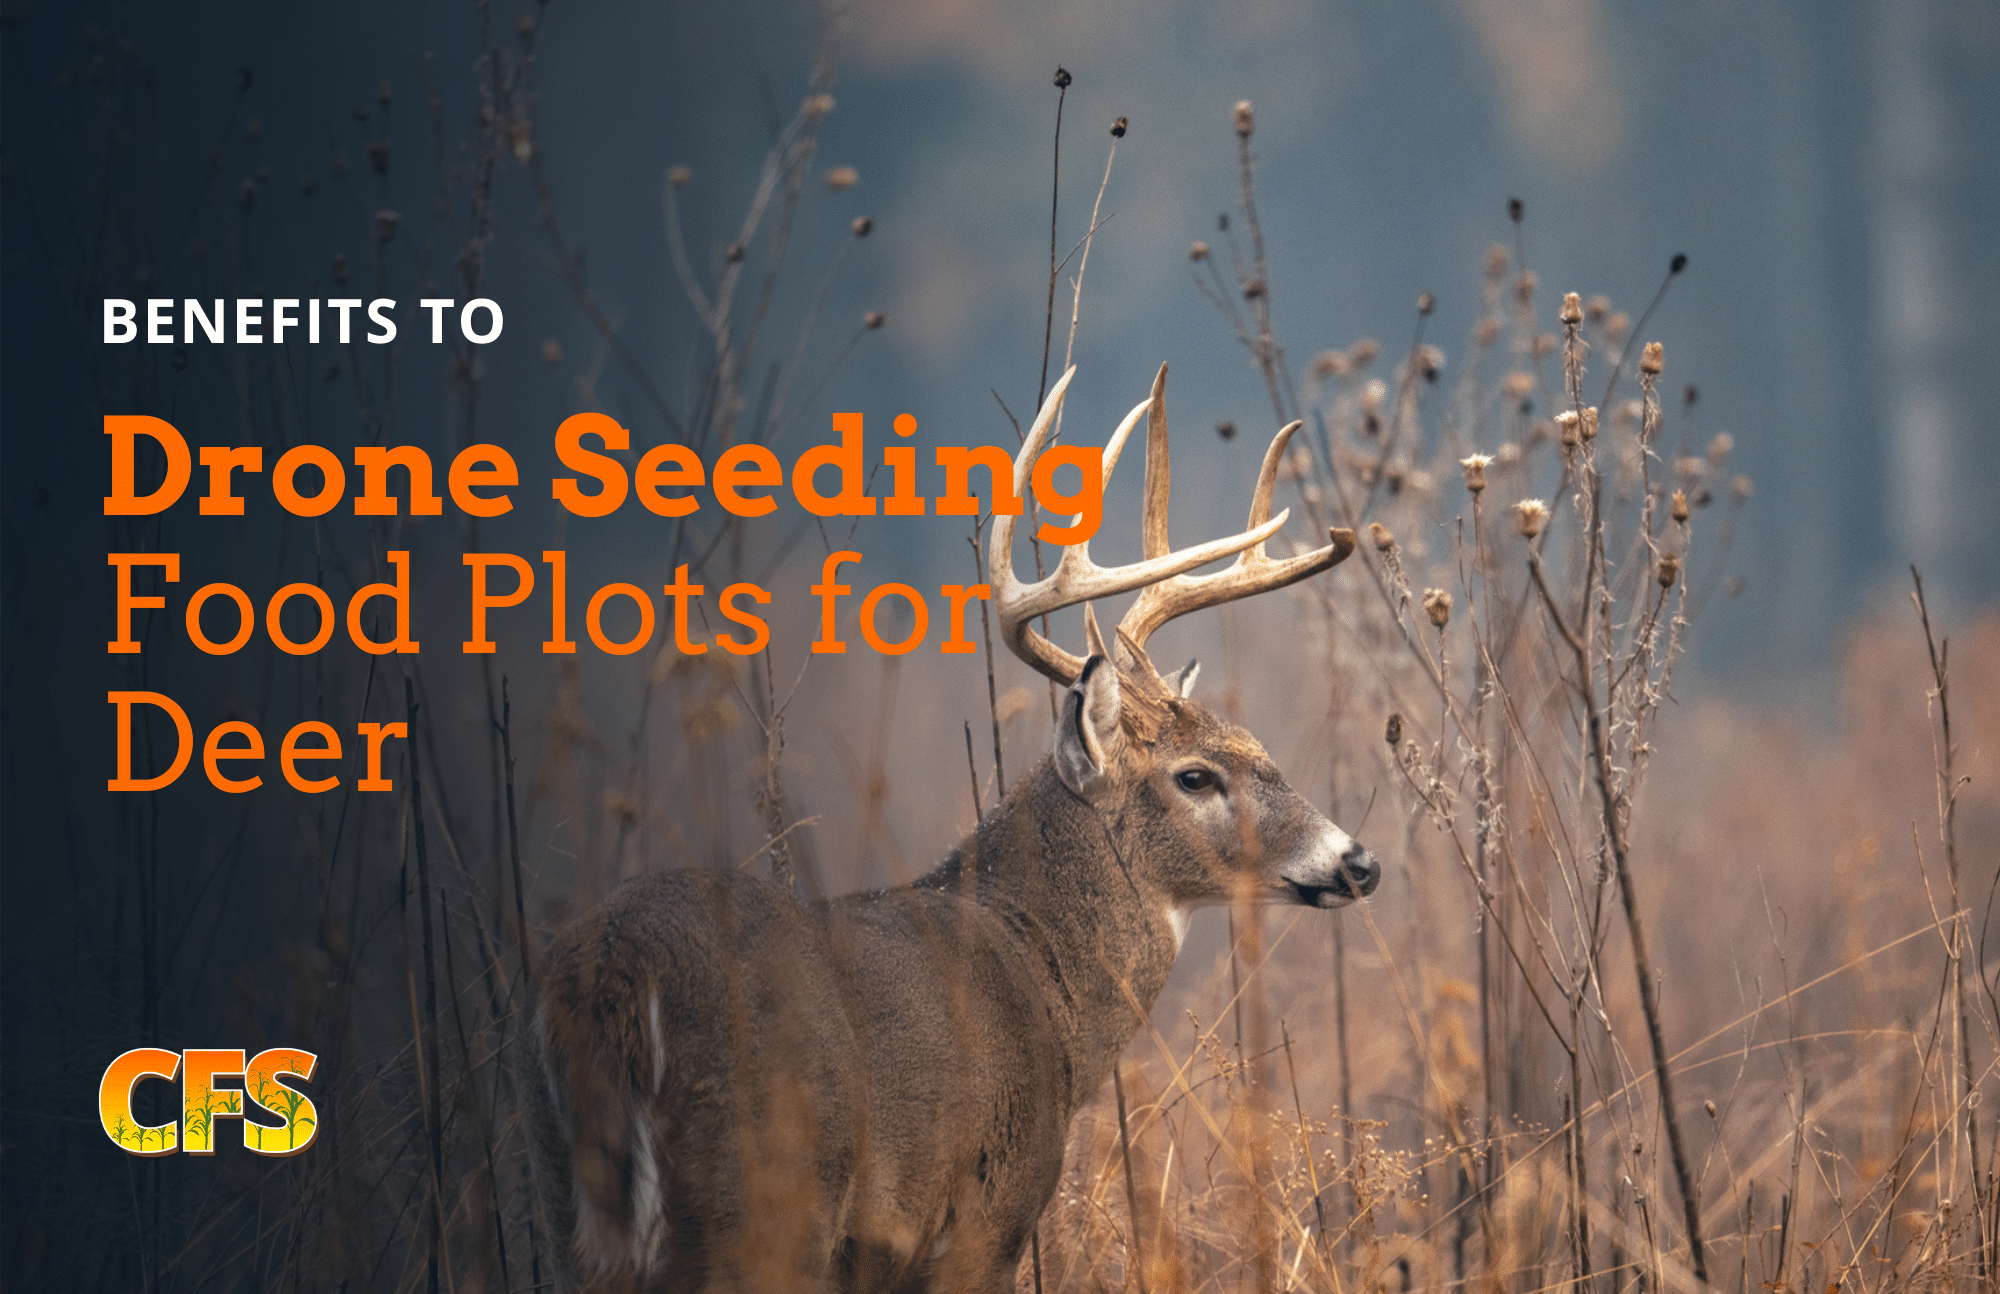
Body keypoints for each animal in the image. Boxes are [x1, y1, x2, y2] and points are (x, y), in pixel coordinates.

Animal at [528, 364, 1376, 1294]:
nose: (1358, 860)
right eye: (1195, 776)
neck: (1042, 976)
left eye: (1257, 744)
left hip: (574, 1211)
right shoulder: (989, 1217)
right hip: (761, 1198)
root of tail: (616, 976)